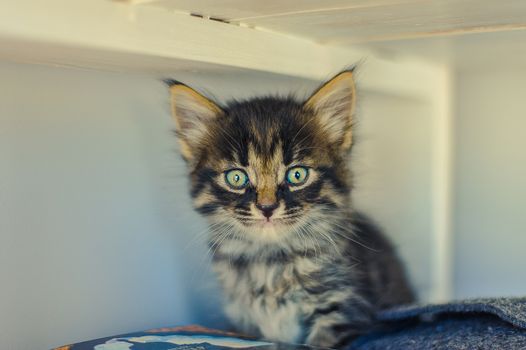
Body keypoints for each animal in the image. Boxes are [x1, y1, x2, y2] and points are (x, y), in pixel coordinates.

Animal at [167, 70, 414, 348]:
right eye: (236, 178)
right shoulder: (243, 319)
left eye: (297, 175)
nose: (267, 207)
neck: (270, 262)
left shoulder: (342, 310)